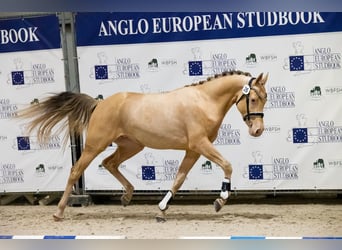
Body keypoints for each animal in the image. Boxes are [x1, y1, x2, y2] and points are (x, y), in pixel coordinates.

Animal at [17, 69, 268, 222]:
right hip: (95, 145)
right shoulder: (200, 144)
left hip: (132, 146)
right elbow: (227, 165)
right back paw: (59, 212)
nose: (258, 130)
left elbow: (179, 179)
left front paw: (162, 210)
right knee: (76, 170)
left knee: (109, 163)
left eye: (265, 98)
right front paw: (220, 200)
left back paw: (127, 197)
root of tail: (99, 103)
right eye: (254, 99)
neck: (203, 101)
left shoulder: (193, 150)